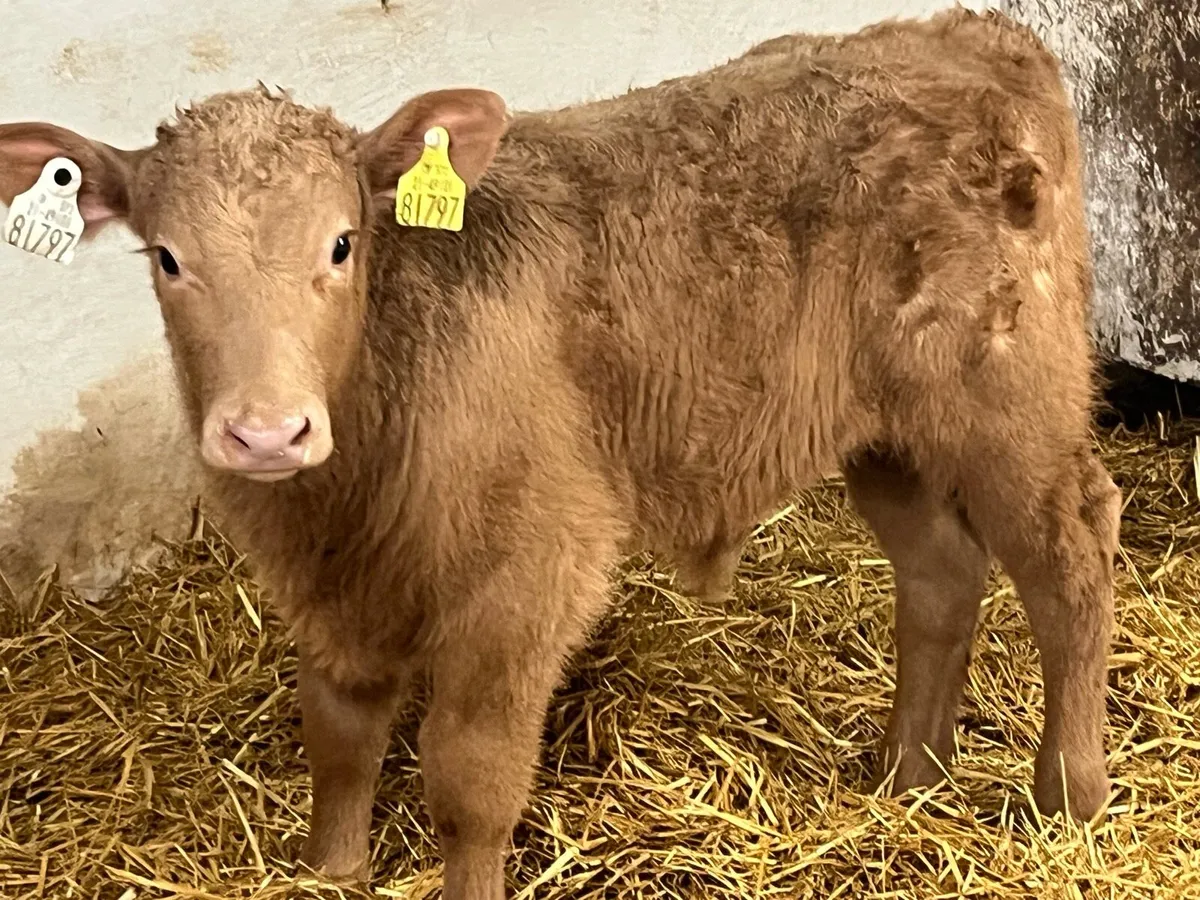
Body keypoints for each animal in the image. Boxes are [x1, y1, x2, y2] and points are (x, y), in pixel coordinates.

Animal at [0, 8, 1122, 898]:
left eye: (342, 244)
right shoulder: (330, 594)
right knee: (941, 574)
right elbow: (339, 738)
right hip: (889, 430)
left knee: (1071, 558)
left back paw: (1067, 794)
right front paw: (332, 870)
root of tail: (973, 33)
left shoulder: (533, 569)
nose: (267, 431)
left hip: (1012, 396)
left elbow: (471, 773)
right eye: (167, 257)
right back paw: (906, 775)